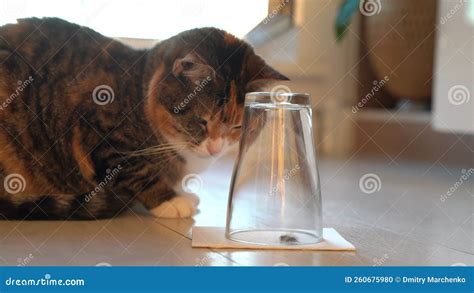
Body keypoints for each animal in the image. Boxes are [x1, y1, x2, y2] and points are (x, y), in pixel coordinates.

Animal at [0, 17, 286, 219]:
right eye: (202, 121)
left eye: (238, 126)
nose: (215, 149)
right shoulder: (97, 129)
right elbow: (136, 170)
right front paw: (170, 201)